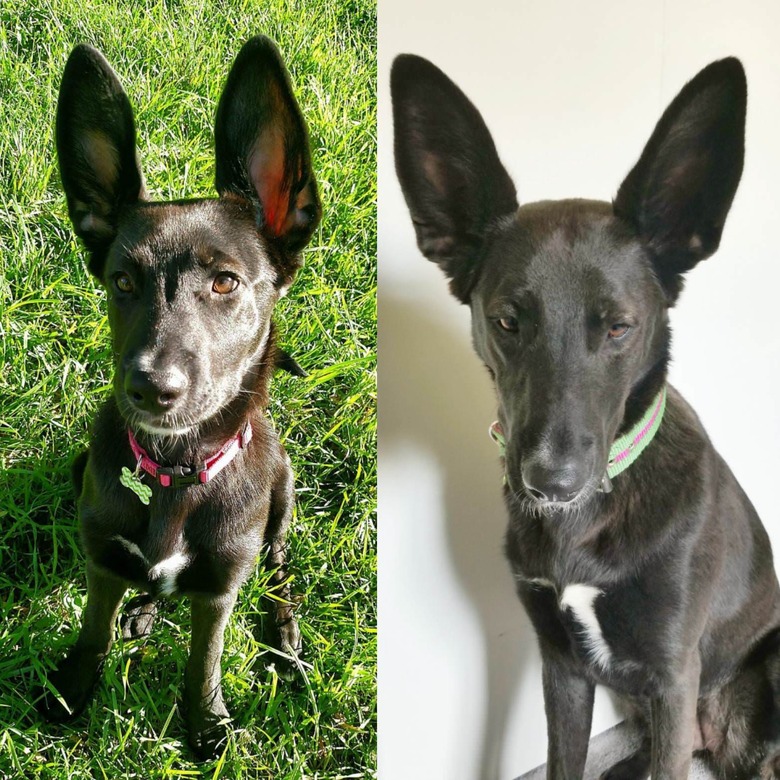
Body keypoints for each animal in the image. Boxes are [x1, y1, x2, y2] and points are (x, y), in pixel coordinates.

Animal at [38, 38, 320, 760]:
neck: (173, 468)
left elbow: (203, 659)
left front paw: (205, 724)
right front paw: (72, 689)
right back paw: (145, 606)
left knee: (278, 564)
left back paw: (283, 634)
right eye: (121, 281)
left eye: (226, 282)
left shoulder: (219, 589)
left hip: (283, 491)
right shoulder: (102, 555)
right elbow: (94, 628)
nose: (149, 388)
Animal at [390, 56, 780, 780]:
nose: (552, 481)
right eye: (507, 321)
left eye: (619, 327)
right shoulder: (562, 664)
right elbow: (563, 759)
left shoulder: (673, 678)